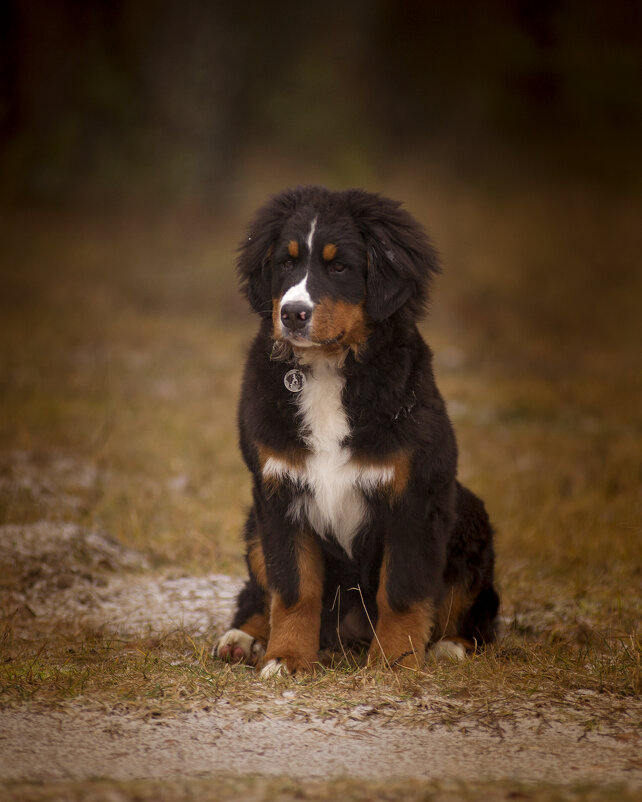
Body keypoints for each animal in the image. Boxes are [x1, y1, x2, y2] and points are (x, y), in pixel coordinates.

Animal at [212, 186, 498, 676]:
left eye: (340, 267)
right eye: (285, 263)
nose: (292, 313)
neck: (329, 370)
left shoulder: (415, 495)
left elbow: (400, 590)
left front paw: (395, 663)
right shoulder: (279, 490)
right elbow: (293, 588)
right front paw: (287, 658)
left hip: (468, 512)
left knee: (478, 614)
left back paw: (449, 645)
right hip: (253, 524)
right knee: (258, 593)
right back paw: (242, 638)